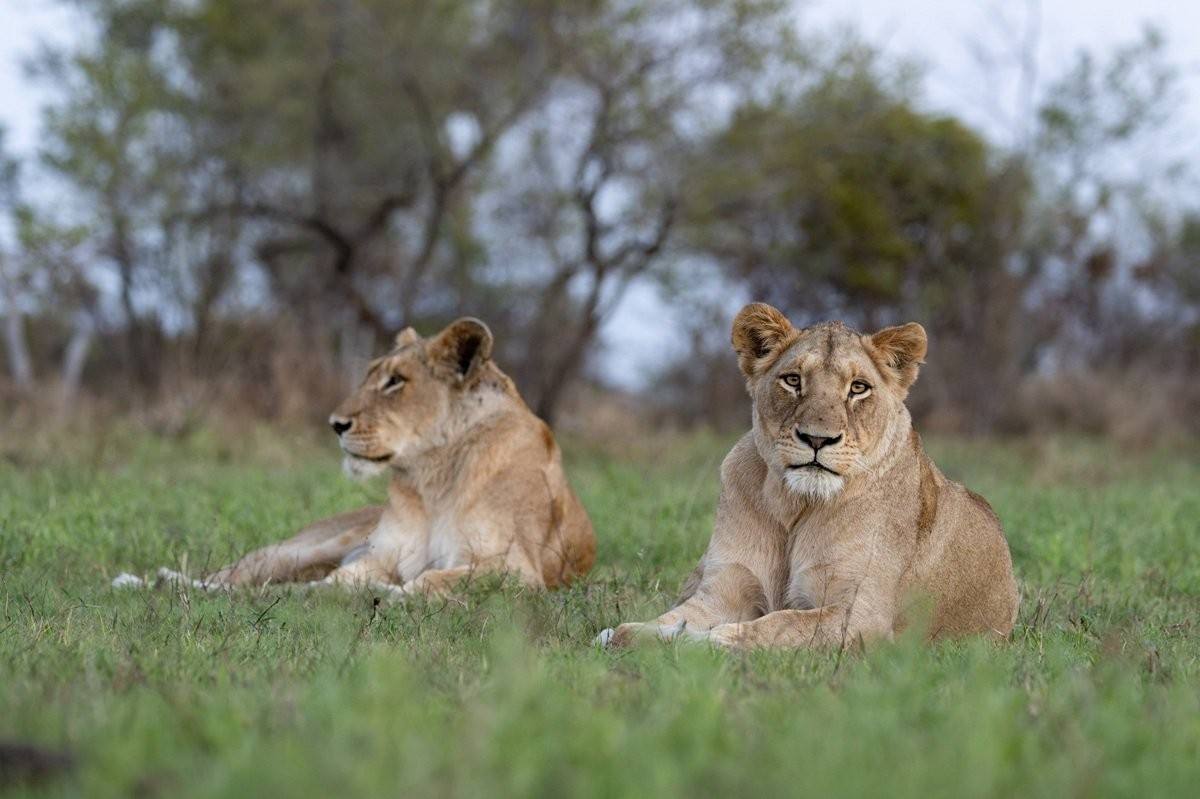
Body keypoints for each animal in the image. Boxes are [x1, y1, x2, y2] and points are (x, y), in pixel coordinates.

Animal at [196, 317, 595, 596]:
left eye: (395, 381)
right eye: (370, 375)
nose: (335, 424)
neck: (433, 479)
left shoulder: (517, 569)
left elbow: (431, 580)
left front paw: (385, 594)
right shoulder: (382, 554)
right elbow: (339, 578)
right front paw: (317, 593)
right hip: (309, 547)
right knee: (234, 572)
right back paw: (192, 586)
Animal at [598, 303, 1018, 649]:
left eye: (858, 388)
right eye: (793, 380)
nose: (818, 439)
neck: (794, 505)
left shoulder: (861, 616)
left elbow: (774, 625)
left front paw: (697, 642)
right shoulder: (723, 590)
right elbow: (654, 624)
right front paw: (628, 634)